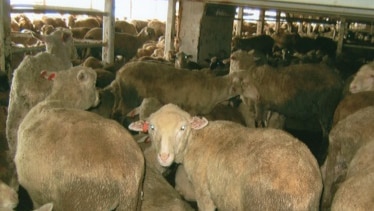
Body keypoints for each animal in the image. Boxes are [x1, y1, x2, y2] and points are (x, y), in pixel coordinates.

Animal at [14, 66, 144, 211]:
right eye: (93, 83)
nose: (99, 96)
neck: (58, 100)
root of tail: (131, 174)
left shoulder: (37, 197)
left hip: (85, 201)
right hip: (133, 200)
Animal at [109, 59, 258, 124]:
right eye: (246, 83)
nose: (258, 95)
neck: (214, 88)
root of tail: (119, 74)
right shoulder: (191, 109)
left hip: (120, 98)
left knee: (113, 112)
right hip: (129, 99)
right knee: (119, 115)